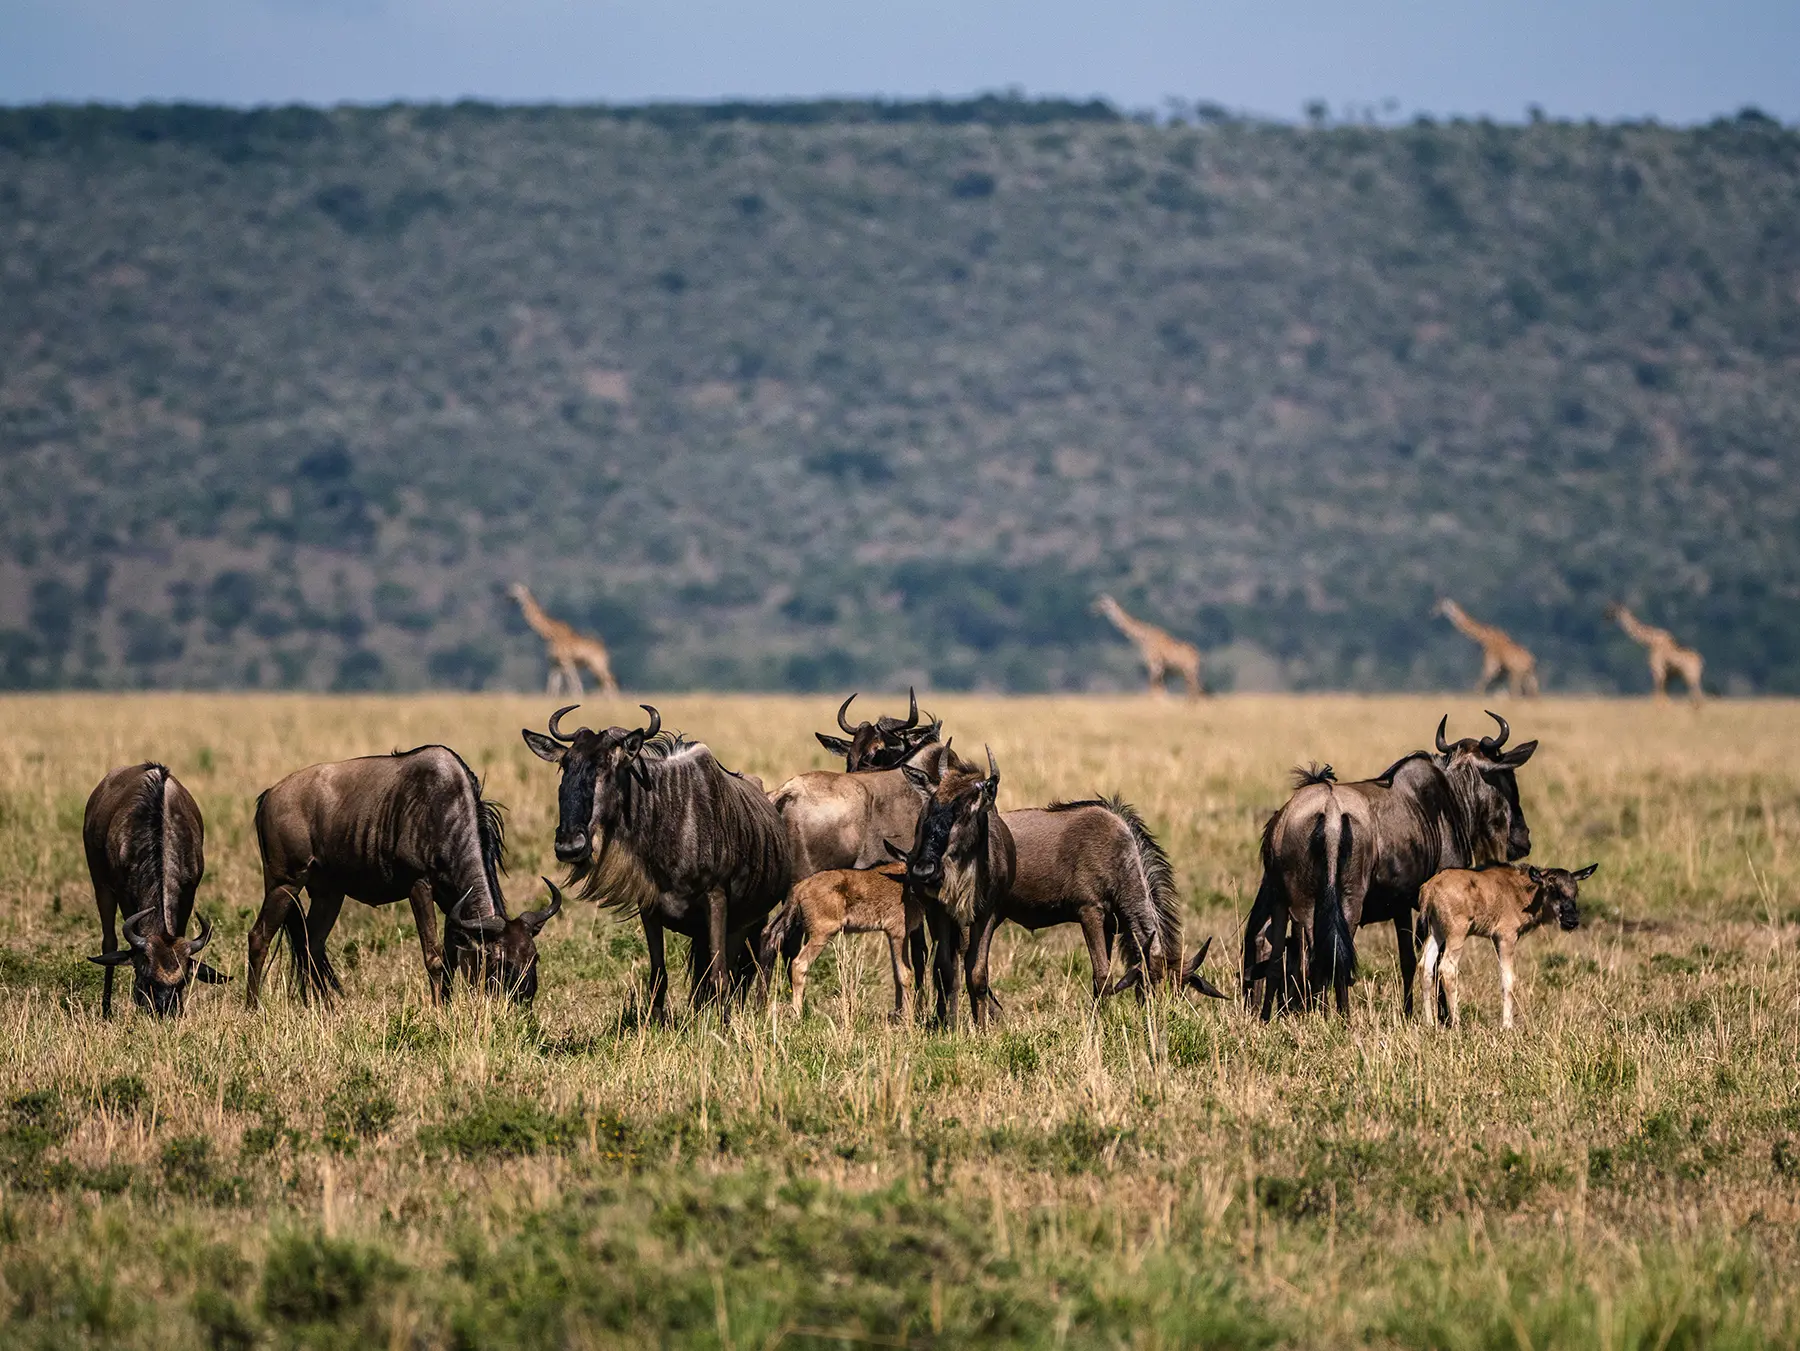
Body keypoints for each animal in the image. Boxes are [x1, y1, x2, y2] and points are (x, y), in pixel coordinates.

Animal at [84, 763, 224, 1017]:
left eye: (182, 981)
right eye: (145, 977)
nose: (163, 1009)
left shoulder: (189, 892)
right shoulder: (124, 893)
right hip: (100, 884)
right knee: (109, 942)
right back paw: (106, 1010)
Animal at [246, 745, 560, 1008]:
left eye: (534, 957)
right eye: (500, 961)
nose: (523, 1001)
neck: (444, 813)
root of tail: (269, 794)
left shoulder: (453, 899)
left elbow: (450, 959)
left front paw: (447, 1007)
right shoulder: (419, 886)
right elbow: (434, 957)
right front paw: (438, 1011)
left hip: (329, 893)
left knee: (311, 945)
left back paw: (325, 1009)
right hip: (284, 883)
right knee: (259, 936)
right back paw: (254, 1008)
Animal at [522, 704, 791, 1020]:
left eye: (608, 766)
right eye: (565, 765)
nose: (569, 846)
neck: (669, 821)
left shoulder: (716, 899)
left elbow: (719, 975)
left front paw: (721, 1026)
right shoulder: (649, 906)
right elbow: (659, 974)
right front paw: (656, 1022)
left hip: (752, 919)